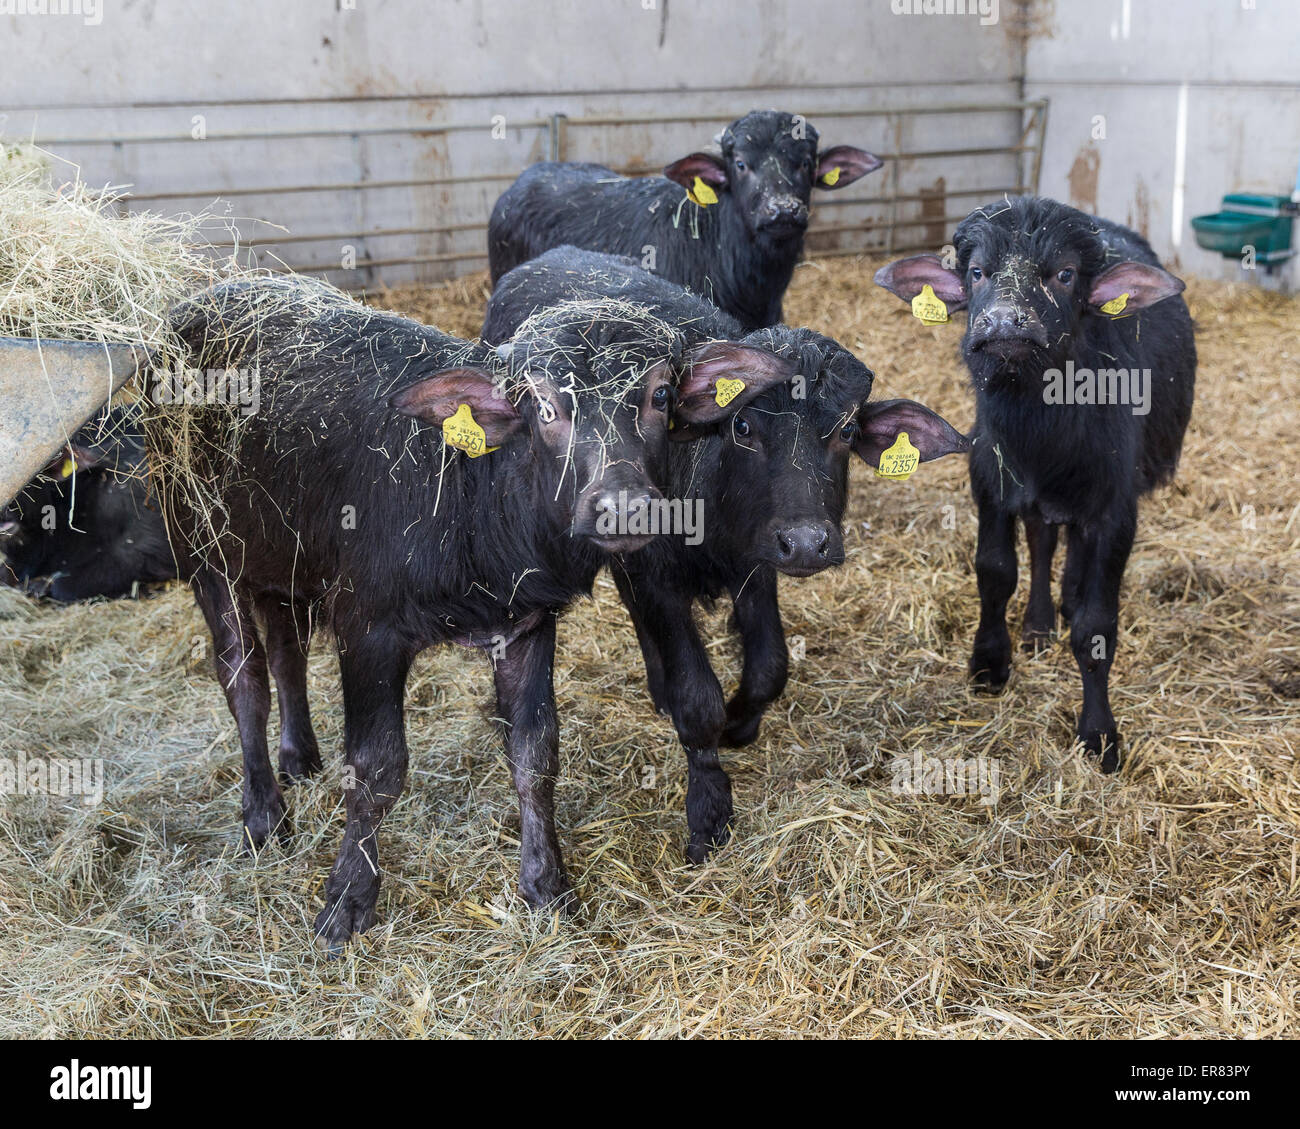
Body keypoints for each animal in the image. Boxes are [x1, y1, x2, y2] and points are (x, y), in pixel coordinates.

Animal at [171, 278, 790, 946]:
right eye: (544, 408)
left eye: (658, 395)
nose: (624, 508)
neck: (472, 494)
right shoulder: (369, 630)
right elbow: (376, 768)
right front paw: (346, 901)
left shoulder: (524, 624)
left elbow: (535, 754)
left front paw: (546, 886)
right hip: (203, 550)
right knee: (244, 680)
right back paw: (264, 817)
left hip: (277, 561)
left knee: (287, 652)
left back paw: (299, 758)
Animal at [483, 247, 972, 858]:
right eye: (742, 425)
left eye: (845, 431)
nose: (808, 541)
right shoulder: (654, 572)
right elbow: (698, 697)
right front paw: (709, 808)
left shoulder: (757, 564)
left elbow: (769, 667)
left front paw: (740, 721)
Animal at [878, 199, 1190, 770]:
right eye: (978, 272)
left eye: (1064, 274)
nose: (1004, 321)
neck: (1041, 432)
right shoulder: (992, 482)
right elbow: (996, 572)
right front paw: (989, 663)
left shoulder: (1115, 512)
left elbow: (1096, 625)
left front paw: (1099, 733)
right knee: (1044, 542)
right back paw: (1041, 623)